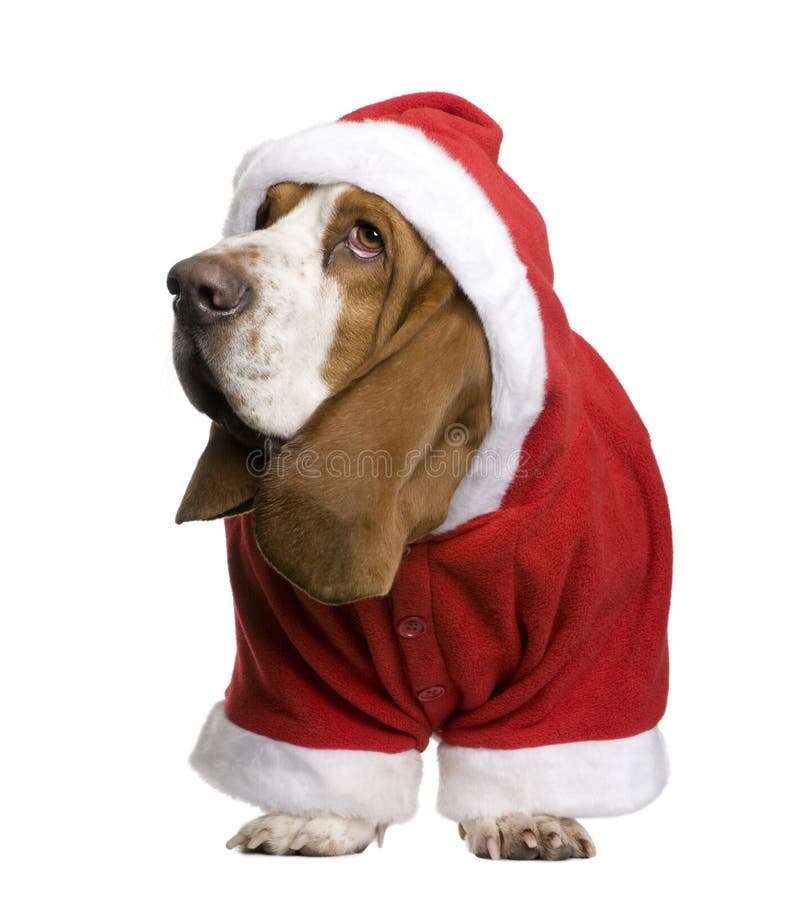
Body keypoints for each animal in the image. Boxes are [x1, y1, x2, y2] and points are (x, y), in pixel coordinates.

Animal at [170, 95, 672, 860]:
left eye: (367, 239)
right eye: (265, 216)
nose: (187, 287)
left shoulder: (587, 644)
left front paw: (521, 816)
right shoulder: (296, 658)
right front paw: (314, 820)